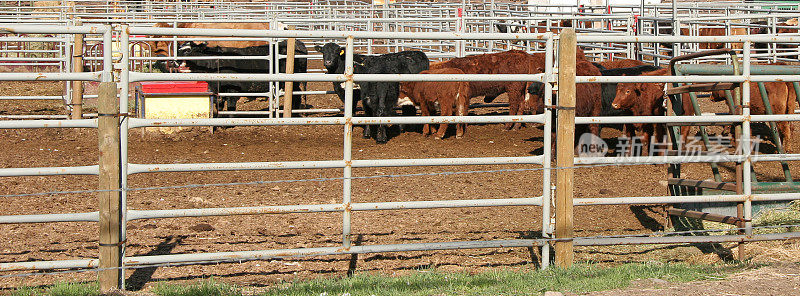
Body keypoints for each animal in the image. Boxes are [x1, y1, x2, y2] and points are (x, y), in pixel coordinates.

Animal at [177, 40, 306, 115]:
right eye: (178, 50)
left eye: (188, 50)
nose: (176, 62)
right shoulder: (217, 91)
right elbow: (218, 106)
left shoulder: (232, 91)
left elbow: (230, 106)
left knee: (298, 94)